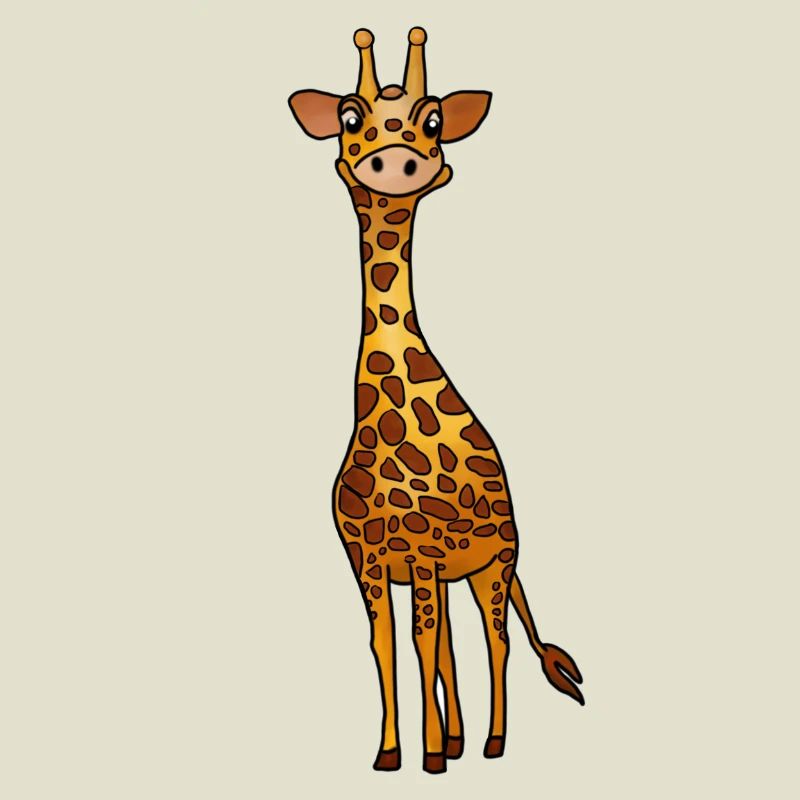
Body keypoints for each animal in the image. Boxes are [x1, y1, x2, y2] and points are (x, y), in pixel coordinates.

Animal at [288, 27, 584, 774]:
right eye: (349, 118)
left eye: (432, 122)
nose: (397, 163)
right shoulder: (372, 561)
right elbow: (388, 645)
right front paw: (394, 752)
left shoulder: (421, 553)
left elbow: (424, 644)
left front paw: (428, 756)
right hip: (455, 570)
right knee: (452, 638)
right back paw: (455, 737)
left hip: (496, 561)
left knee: (494, 638)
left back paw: (491, 742)